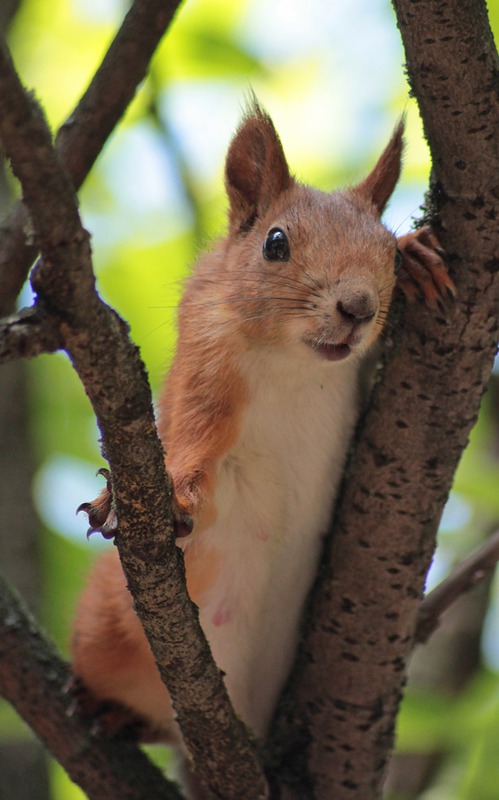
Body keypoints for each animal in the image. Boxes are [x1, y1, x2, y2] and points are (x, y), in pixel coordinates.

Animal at [71, 100, 458, 764]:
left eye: (387, 252)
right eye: (275, 243)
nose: (357, 308)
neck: (294, 367)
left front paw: (421, 257)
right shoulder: (204, 375)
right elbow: (192, 449)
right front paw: (159, 494)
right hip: (105, 625)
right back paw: (105, 706)